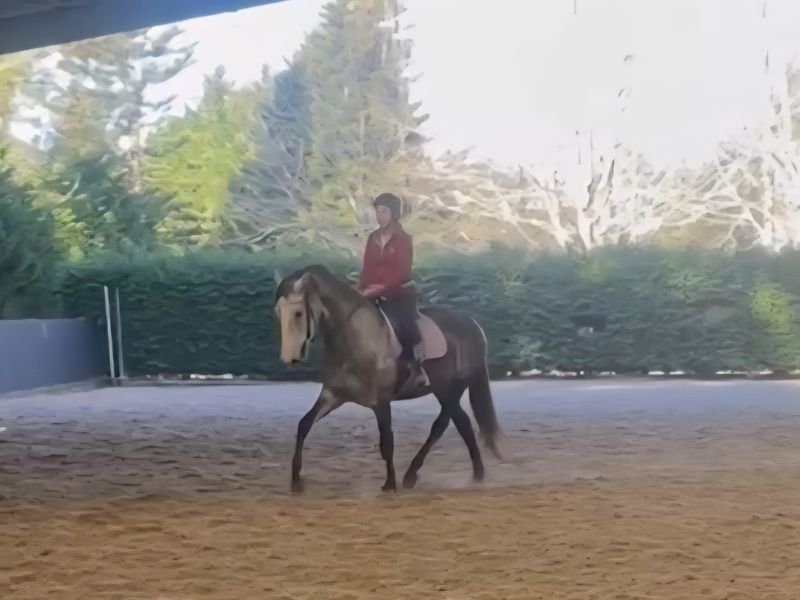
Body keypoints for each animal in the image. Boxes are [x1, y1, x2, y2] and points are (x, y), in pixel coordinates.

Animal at [274, 265, 502, 493]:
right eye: (278, 312)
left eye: (298, 313)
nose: (289, 358)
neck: (354, 338)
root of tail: (472, 324)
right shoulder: (333, 396)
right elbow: (304, 425)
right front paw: (296, 480)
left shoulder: (381, 402)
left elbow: (387, 442)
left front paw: (389, 484)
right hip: (445, 392)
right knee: (458, 424)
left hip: (449, 391)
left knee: (449, 425)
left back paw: (465, 475)